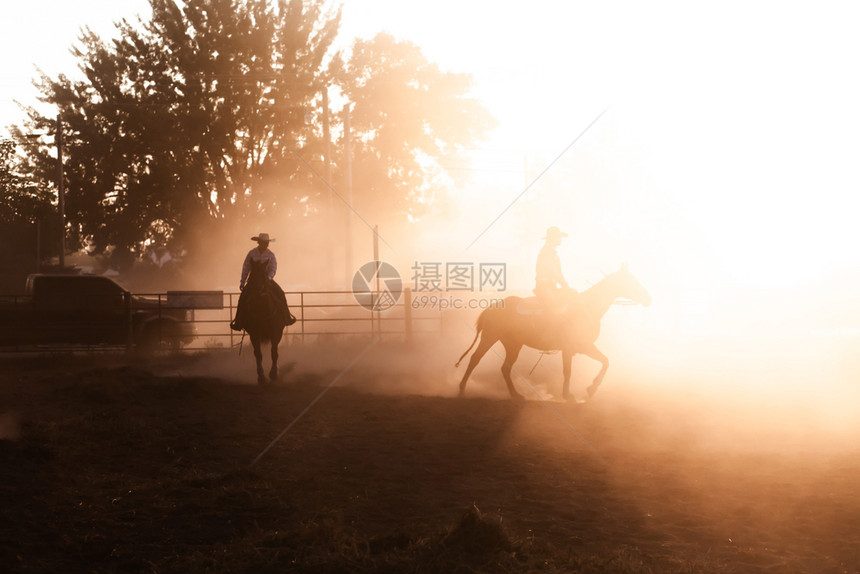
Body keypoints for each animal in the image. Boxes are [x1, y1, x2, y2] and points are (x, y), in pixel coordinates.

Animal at [242, 260, 286, 388]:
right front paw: (261, 377)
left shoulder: (276, 332)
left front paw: (274, 374)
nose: (260, 290)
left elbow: (274, 353)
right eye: (252, 275)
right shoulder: (254, 334)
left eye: (265, 275)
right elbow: (258, 354)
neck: (263, 309)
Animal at [456, 264, 652, 400]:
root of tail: (493, 307)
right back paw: (462, 389)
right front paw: (569, 395)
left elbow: (605, 361)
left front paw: (591, 389)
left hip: (513, 345)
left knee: (505, 368)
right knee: (475, 359)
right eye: (631, 281)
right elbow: (568, 371)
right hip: (490, 337)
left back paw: (515, 394)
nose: (648, 299)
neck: (587, 308)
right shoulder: (570, 348)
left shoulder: (585, 346)